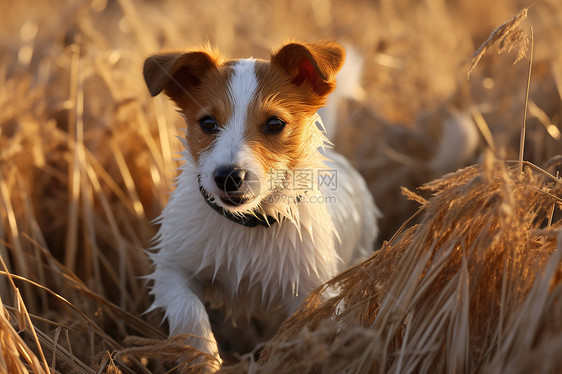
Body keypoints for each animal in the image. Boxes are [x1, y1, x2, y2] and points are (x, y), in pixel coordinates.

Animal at [142, 40, 376, 368]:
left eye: (275, 123)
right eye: (208, 123)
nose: (228, 176)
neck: (248, 221)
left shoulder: (314, 295)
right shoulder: (171, 269)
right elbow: (189, 311)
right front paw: (202, 357)